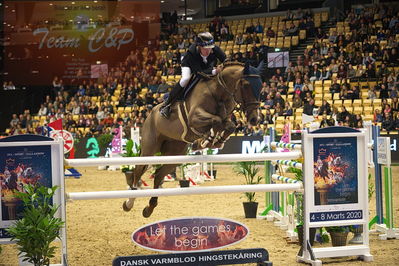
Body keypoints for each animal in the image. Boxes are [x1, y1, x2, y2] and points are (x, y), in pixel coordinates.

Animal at [123, 61, 264, 217]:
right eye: (246, 85)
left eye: (261, 86)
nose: (254, 119)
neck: (219, 92)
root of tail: (149, 115)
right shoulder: (194, 117)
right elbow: (216, 121)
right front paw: (207, 140)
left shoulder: (226, 118)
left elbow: (229, 125)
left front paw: (213, 141)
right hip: (149, 149)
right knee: (138, 170)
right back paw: (129, 202)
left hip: (175, 154)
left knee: (159, 175)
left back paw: (149, 208)